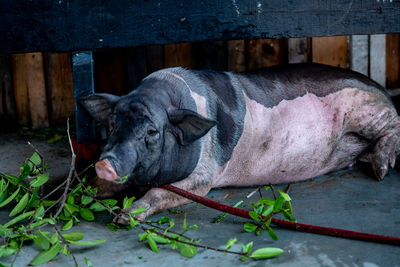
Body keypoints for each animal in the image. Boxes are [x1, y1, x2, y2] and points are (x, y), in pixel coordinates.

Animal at [79, 63, 400, 223]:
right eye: (111, 125)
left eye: (152, 132)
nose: (104, 163)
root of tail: (380, 87)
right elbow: (102, 188)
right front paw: (83, 192)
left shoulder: (205, 176)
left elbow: (159, 192)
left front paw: (123, 218)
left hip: (370, 111)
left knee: (395, 125)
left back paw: (381, 170)